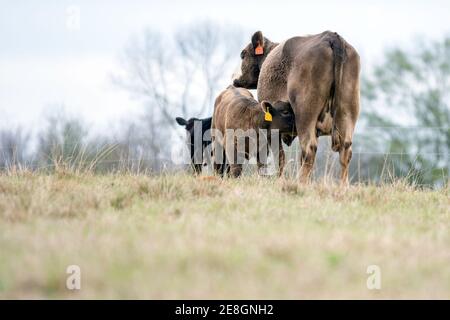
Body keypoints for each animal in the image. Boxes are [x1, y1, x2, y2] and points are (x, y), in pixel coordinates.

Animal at [234, 30, 360, 185]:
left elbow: (280, 157)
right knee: (345, 151)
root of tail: (330, 36)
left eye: (243, 54)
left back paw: (300, 183)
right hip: (348, 112)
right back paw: (342, 186)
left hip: (305, 115)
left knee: (309, 149)